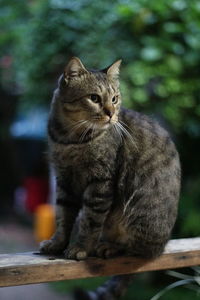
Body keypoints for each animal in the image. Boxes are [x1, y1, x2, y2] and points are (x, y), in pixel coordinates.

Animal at [39, 56, 180, 300]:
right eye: (94, 98)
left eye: (115, 98)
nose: (111, 113)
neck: (71, 139)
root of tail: (164, 243)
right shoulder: (64, 179)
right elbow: (63, 217)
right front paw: (57, 243)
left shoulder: (101, 182)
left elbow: (90, 221)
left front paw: (80, 248)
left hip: (139, 211)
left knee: (141, 251)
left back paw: (110, 247)